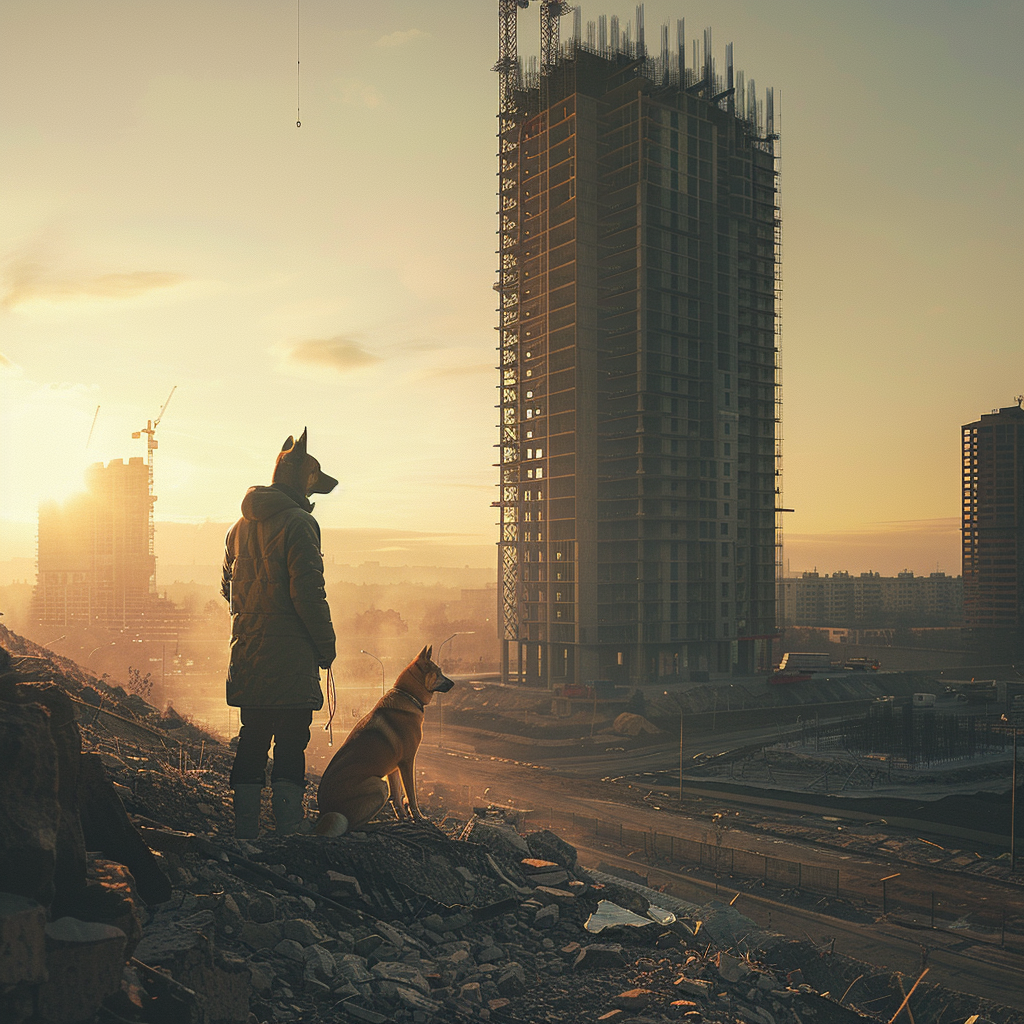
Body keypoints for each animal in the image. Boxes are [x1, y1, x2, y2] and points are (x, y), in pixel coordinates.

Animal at [313, 643, 454, 835]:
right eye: (438, 672)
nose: (453, 683)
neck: (408, 695)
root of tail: (324, 811)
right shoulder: (407, 762)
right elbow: (411, 795)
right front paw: (418, 818)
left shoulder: (393, 768)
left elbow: (397, 798)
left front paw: (403, 818)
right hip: (379, 786)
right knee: (352, 825)